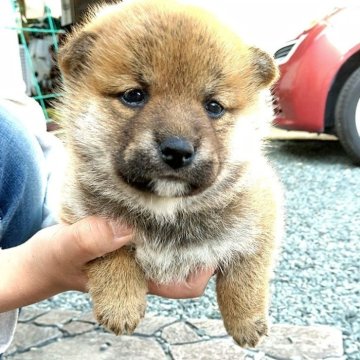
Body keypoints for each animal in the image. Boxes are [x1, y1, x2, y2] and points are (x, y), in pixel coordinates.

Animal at [59, 0, 282, 348]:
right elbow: (110, 255)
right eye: (134, 95)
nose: (177, 150)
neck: (166, 210)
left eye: (214, 106)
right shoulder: (83, 214)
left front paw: (247, 323)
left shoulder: (261, 214)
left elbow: (245, 272)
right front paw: (120, 303)